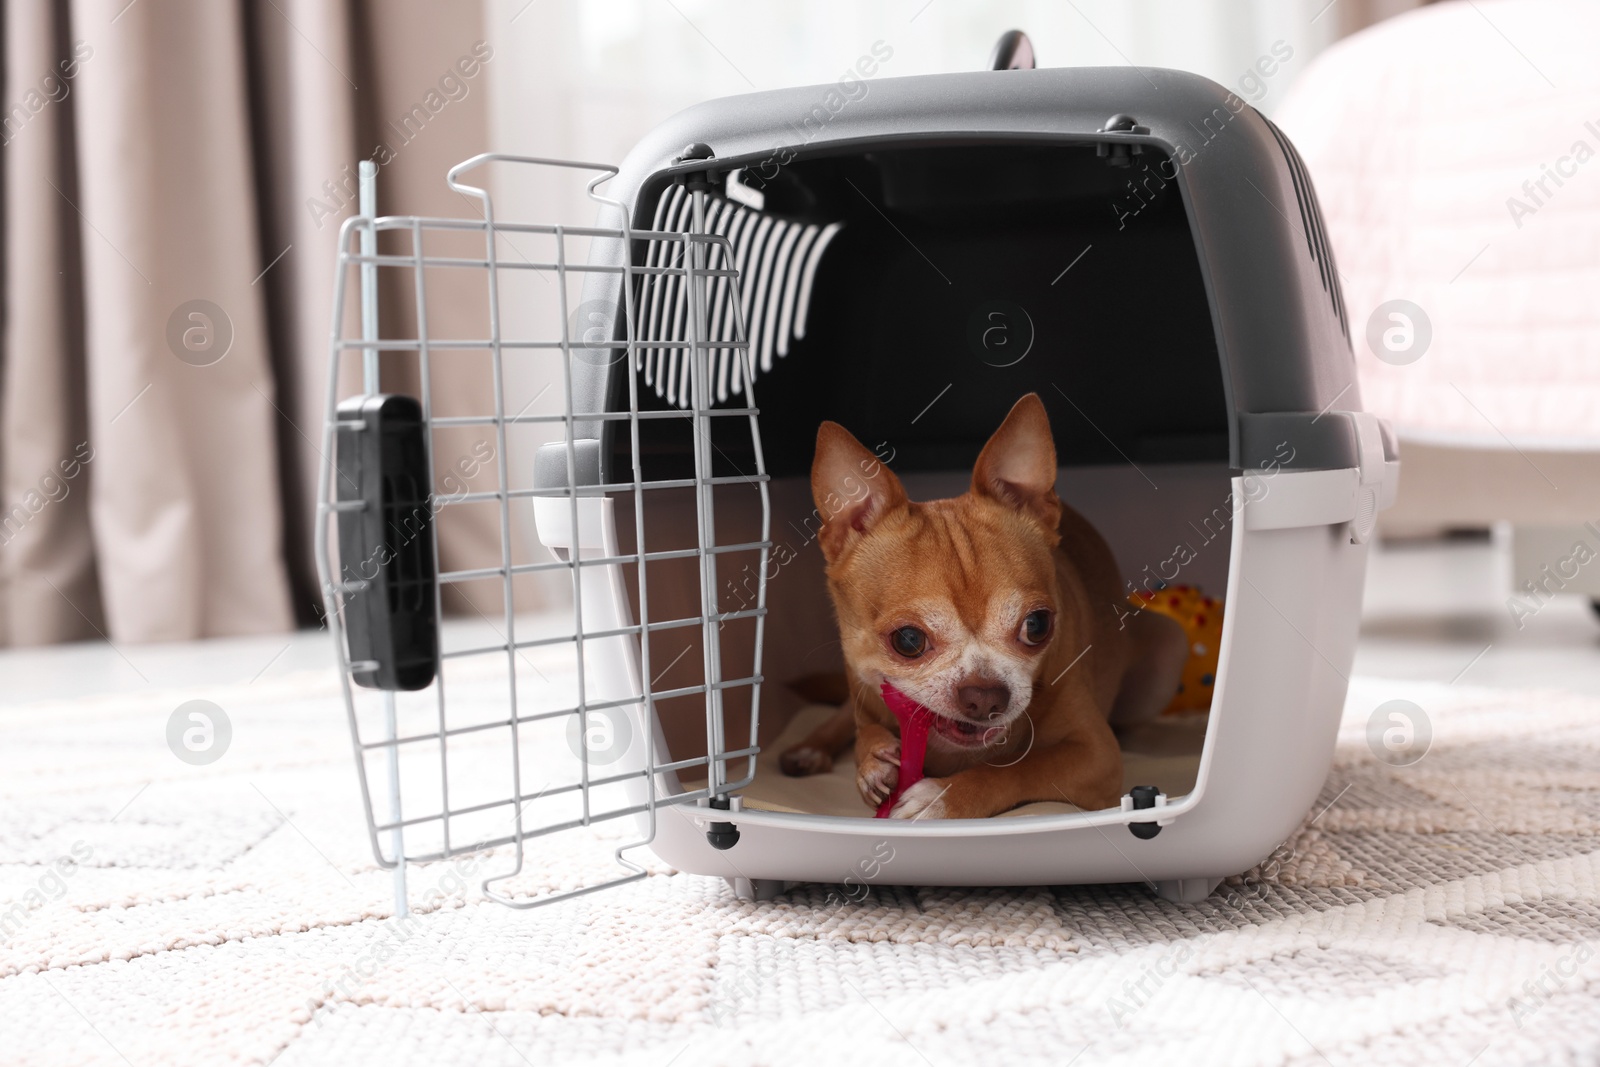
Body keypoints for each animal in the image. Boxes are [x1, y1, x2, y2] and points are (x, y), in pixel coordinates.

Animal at [780, 396, 1184, 825]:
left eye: (1037, 625)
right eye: (908, 640)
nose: (985, 695)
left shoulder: (1096, 755)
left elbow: (1020, 767)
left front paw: (943, 797)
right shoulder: (867, 696)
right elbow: (865, 733)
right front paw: (872, 762)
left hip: (1167, 653)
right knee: (843, 715)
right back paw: (810, 748)